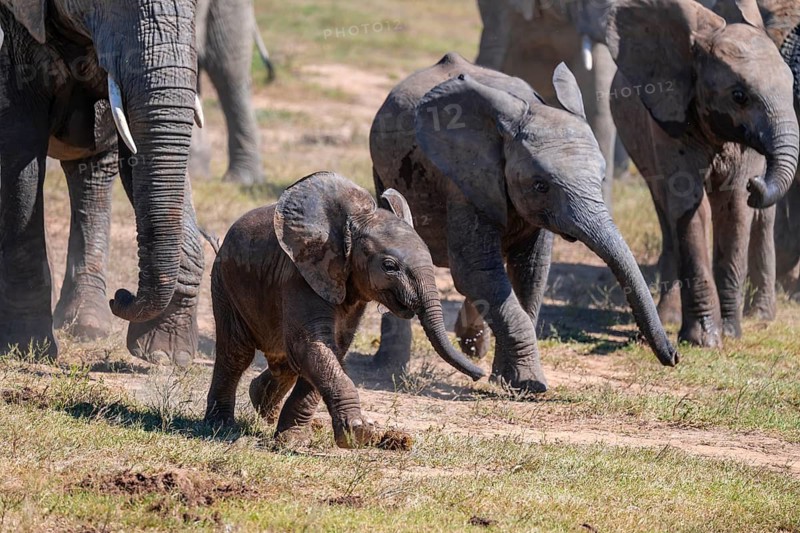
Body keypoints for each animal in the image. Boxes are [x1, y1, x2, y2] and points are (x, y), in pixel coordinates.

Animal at [0, 0, 205, 363]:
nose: (121, 296)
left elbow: (135, 157)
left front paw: (165, 355)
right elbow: (20, 153)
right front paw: (26, 349)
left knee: (93, 173)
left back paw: (87, 327)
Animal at [204, 171, 485, 447]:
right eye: (389, 266)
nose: (479, 374)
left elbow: (332, 349)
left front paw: (293, 440)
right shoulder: (300, 276)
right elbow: (312, 346)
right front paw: (359, 434)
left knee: (284, 363)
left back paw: (263, 407)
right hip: (223, 283)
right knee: (236, 353)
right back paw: (221, 427)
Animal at [369, 53, 679, 393]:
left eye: (601, 179)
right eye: (541, 185)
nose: (674, 356)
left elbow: (531, 270)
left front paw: (510, 381)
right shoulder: (465, 181)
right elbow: (477, 271)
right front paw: (530, 384)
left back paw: (470, 343)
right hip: (383, 172)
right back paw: (390, 368)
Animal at [607, 0, 800, 347]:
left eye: (790, 88)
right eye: (739, 96)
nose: (756, 184)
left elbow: (733, 208)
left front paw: (731, 334)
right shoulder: (670, 115)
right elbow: (691, 206)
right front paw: (703, 341)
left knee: (762, 219)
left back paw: (761, 317)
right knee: (666, 214)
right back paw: (668, 317)